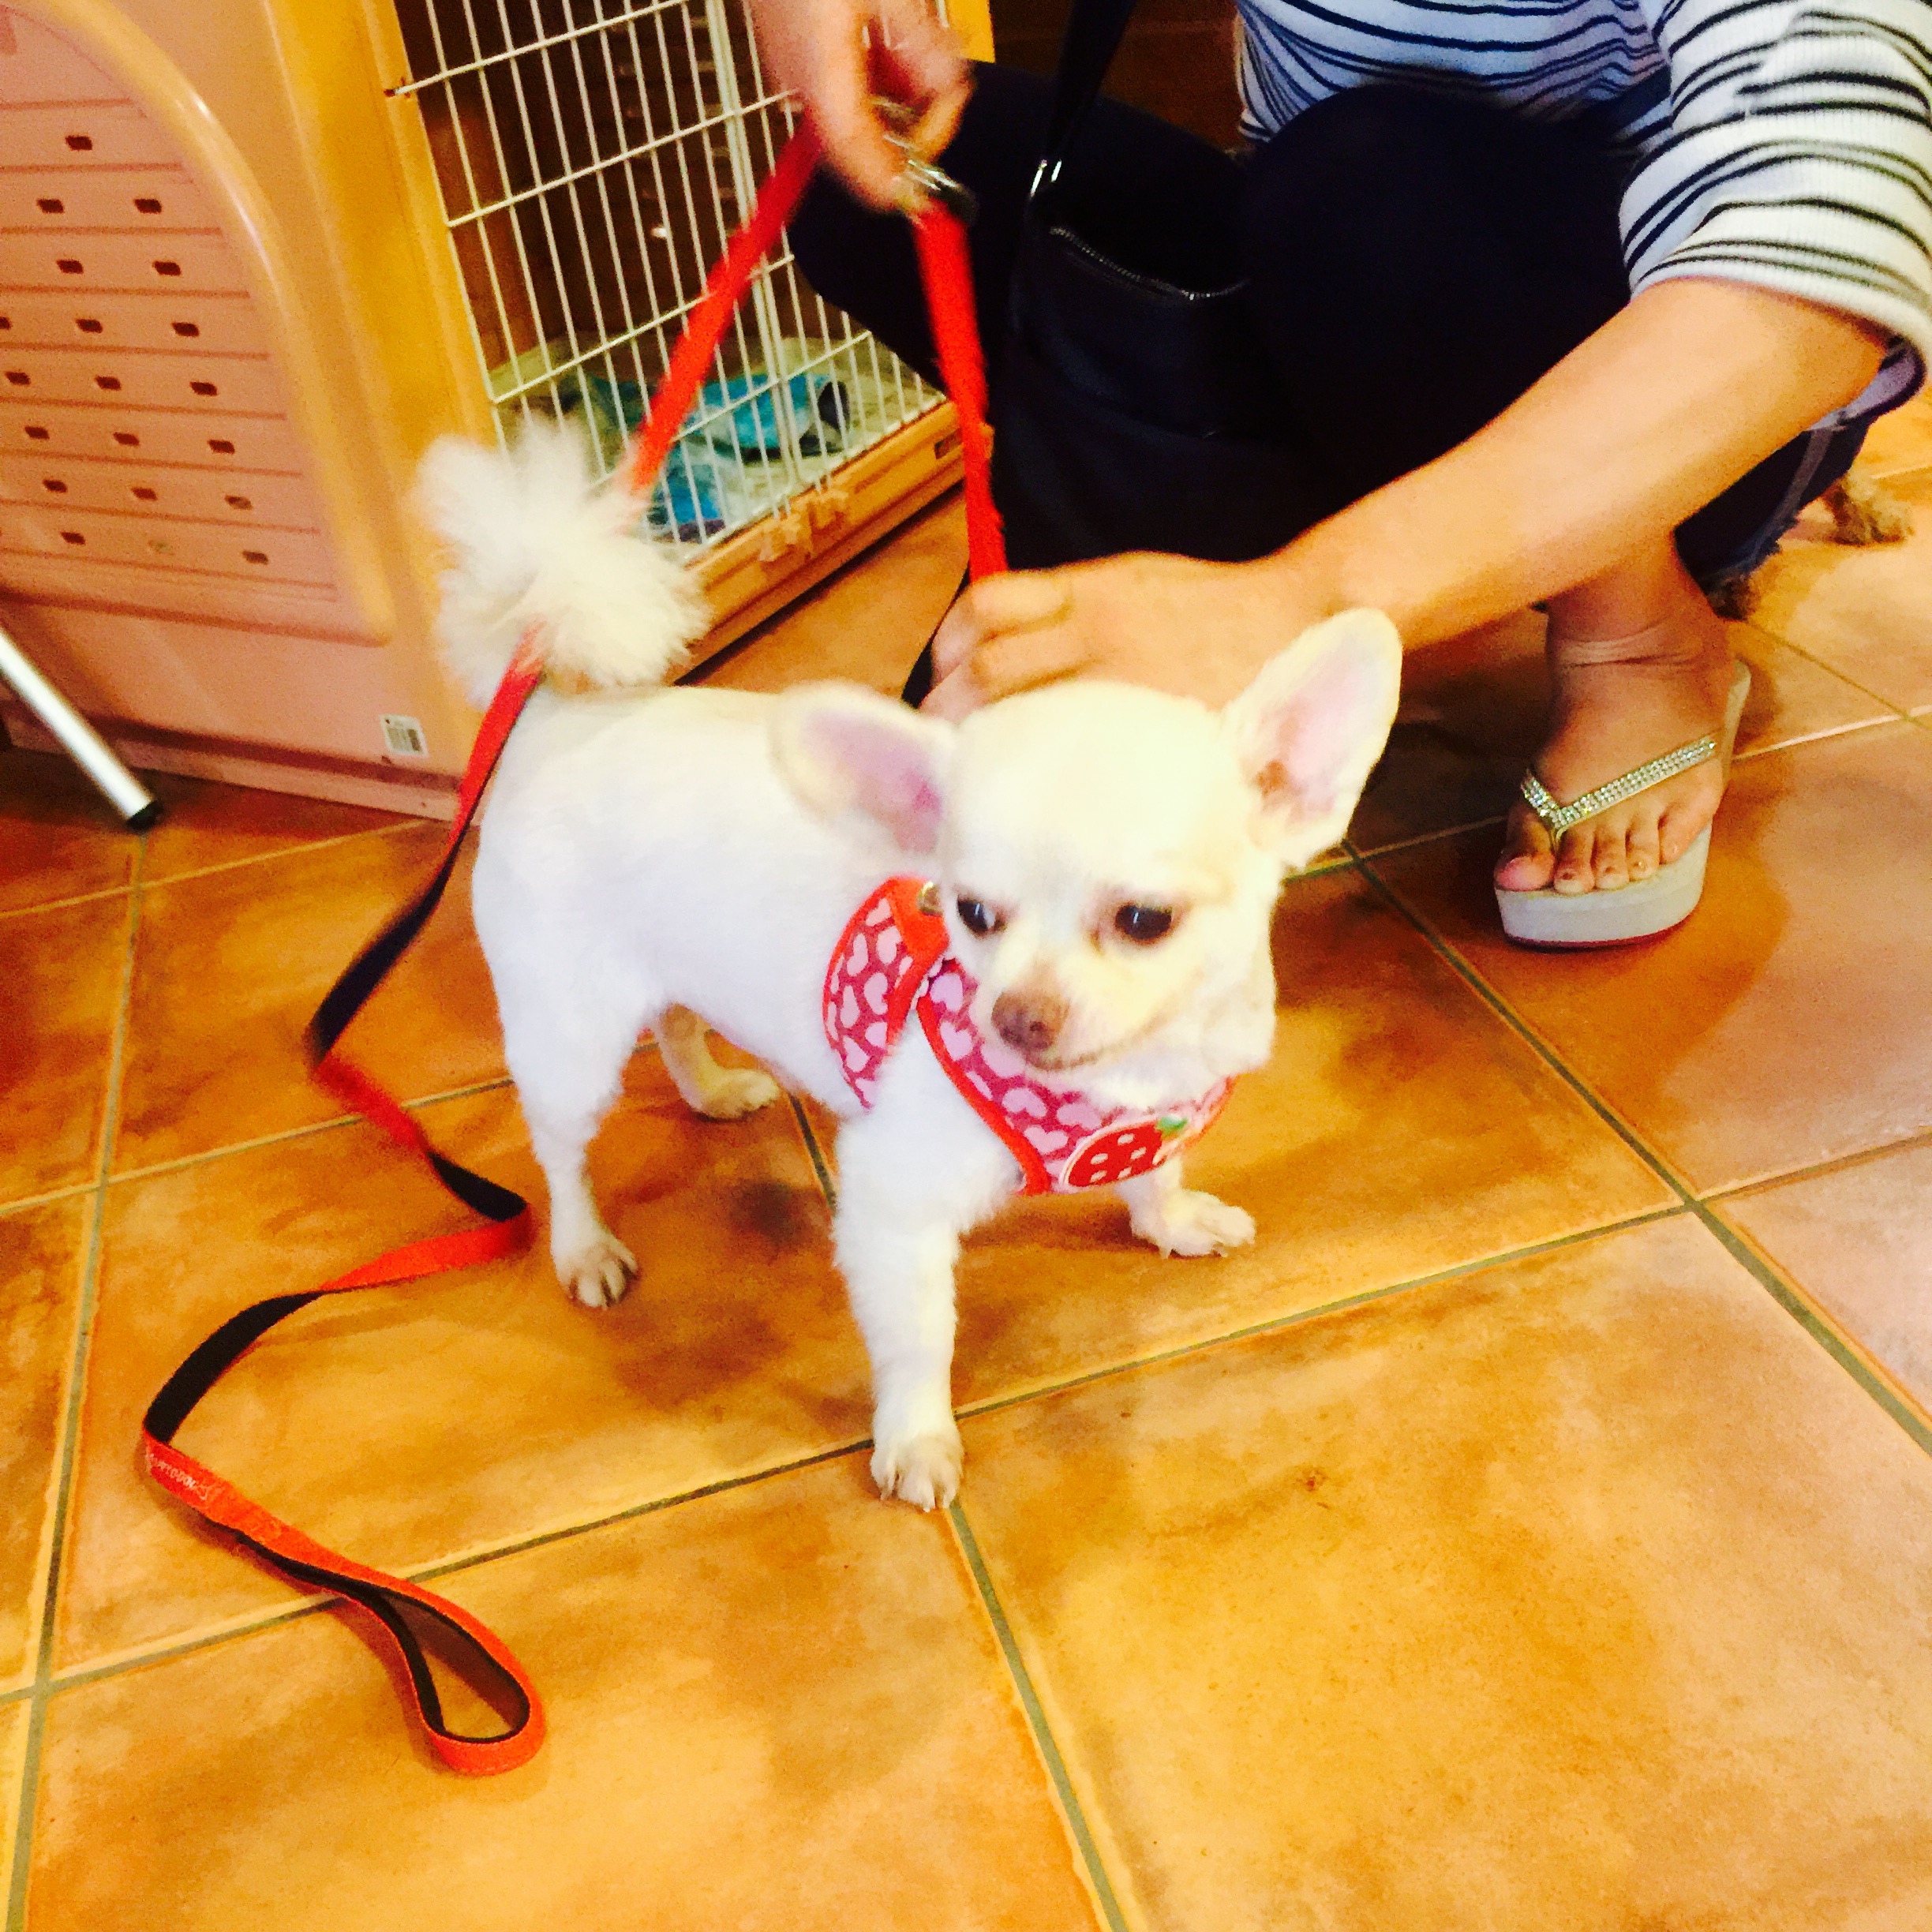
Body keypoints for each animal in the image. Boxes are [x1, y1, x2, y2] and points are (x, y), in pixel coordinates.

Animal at [422, 426, 1401, 1508]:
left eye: (1145, 920)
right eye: (971, 913)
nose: (1017, 1017)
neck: (1118, 1086)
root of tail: (552, 713)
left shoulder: (1153, 1115)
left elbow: (1157, 1172)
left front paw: (1171, 1218)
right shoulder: (893, 1212)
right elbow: (918, 1341)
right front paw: (917, 1438)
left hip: (660, 968)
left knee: (673, 1020)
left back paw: (712, 1090)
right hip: (570, 1041)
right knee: (560, 1150)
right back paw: (584, 1247)